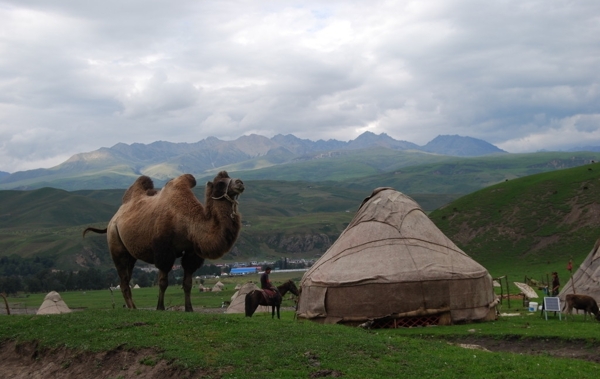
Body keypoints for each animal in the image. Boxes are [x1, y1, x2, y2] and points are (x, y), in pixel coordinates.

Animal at [83, 171, 245, 312]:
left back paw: (134, 307)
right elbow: (163, 282)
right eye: (220, 183)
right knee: (123, 280)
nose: (240, 182)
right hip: (116, 243)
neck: (187, 222)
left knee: (127, 279)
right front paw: (160, 307)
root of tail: (113, 220)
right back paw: (132, 308)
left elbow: (187, 283)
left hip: (130, 254)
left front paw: (189, 308)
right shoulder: (164, 250)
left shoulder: (191, 252)